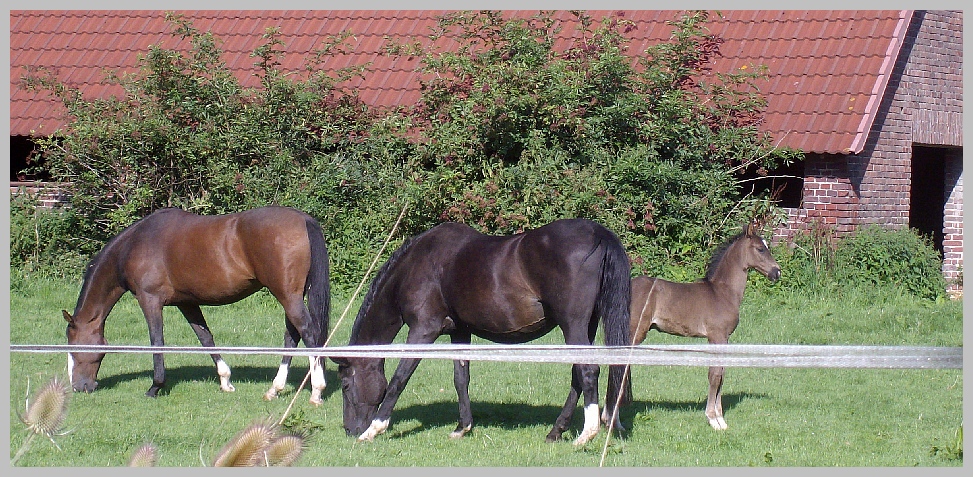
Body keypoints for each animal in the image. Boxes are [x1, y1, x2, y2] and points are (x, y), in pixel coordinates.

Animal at [64, 205, 332, 402]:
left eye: (74, 346)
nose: (79, 386)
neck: (134, 245)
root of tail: (303, 219)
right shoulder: (187, 303)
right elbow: (205, 337)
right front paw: (225, 380)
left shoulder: (149, 300)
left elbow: (157, 341)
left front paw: (155, 387)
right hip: (290, 296)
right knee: (292, 336)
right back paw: (274, 389)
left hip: (287, 296)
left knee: (308, 332)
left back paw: (317, 391)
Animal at [628, 221, 780, 430]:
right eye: (760, 249)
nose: (777, 272)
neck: (723, 292)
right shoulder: (716, 337)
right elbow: (714, 375)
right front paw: (713, 419)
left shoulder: (724, 339)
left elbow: (722, 373)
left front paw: (721, 418)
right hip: (636, 332)